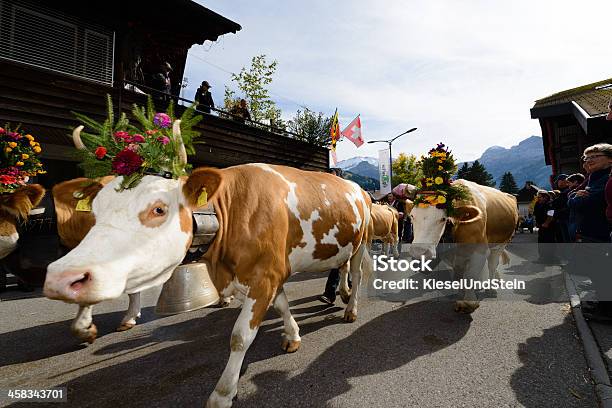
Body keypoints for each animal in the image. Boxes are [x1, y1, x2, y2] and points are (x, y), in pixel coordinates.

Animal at [44, 130, 372, 404]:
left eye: (159, 209)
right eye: (95, 211)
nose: (61, 277)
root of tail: (357, 187)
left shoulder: (263, 276)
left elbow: (240, 337)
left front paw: (223, 394)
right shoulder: (267, 273)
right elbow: (280, 305)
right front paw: (292, 336)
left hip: (361, 243)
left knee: (356, 273)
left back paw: (350, 308)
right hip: (342, 245)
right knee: (341, 267)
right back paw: (341, 294)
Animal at [408, 180, 520, 314]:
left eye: (443, 218)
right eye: (412, 216)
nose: (419, 252)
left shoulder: (480, 251)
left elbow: (470, 275)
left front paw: (468, 302)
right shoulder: (449, 255)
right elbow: (457, 275)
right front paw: (460, 292)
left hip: (501, 244)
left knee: (492, 264)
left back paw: (491, 288)